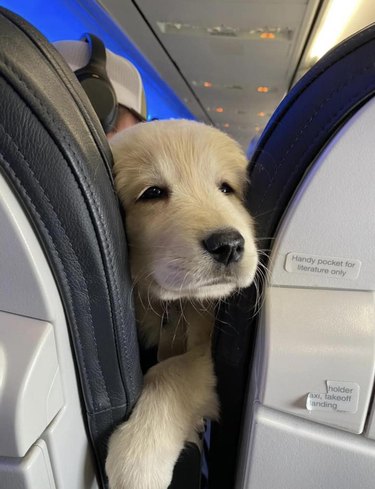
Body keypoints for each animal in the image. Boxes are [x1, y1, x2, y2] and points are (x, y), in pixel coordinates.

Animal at [105, 119, 258, 488]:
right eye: (153, 193)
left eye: (226, 189)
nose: (229, 245)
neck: (175, 305)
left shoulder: (207, 351)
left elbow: (170, 372)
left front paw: (138, 458)